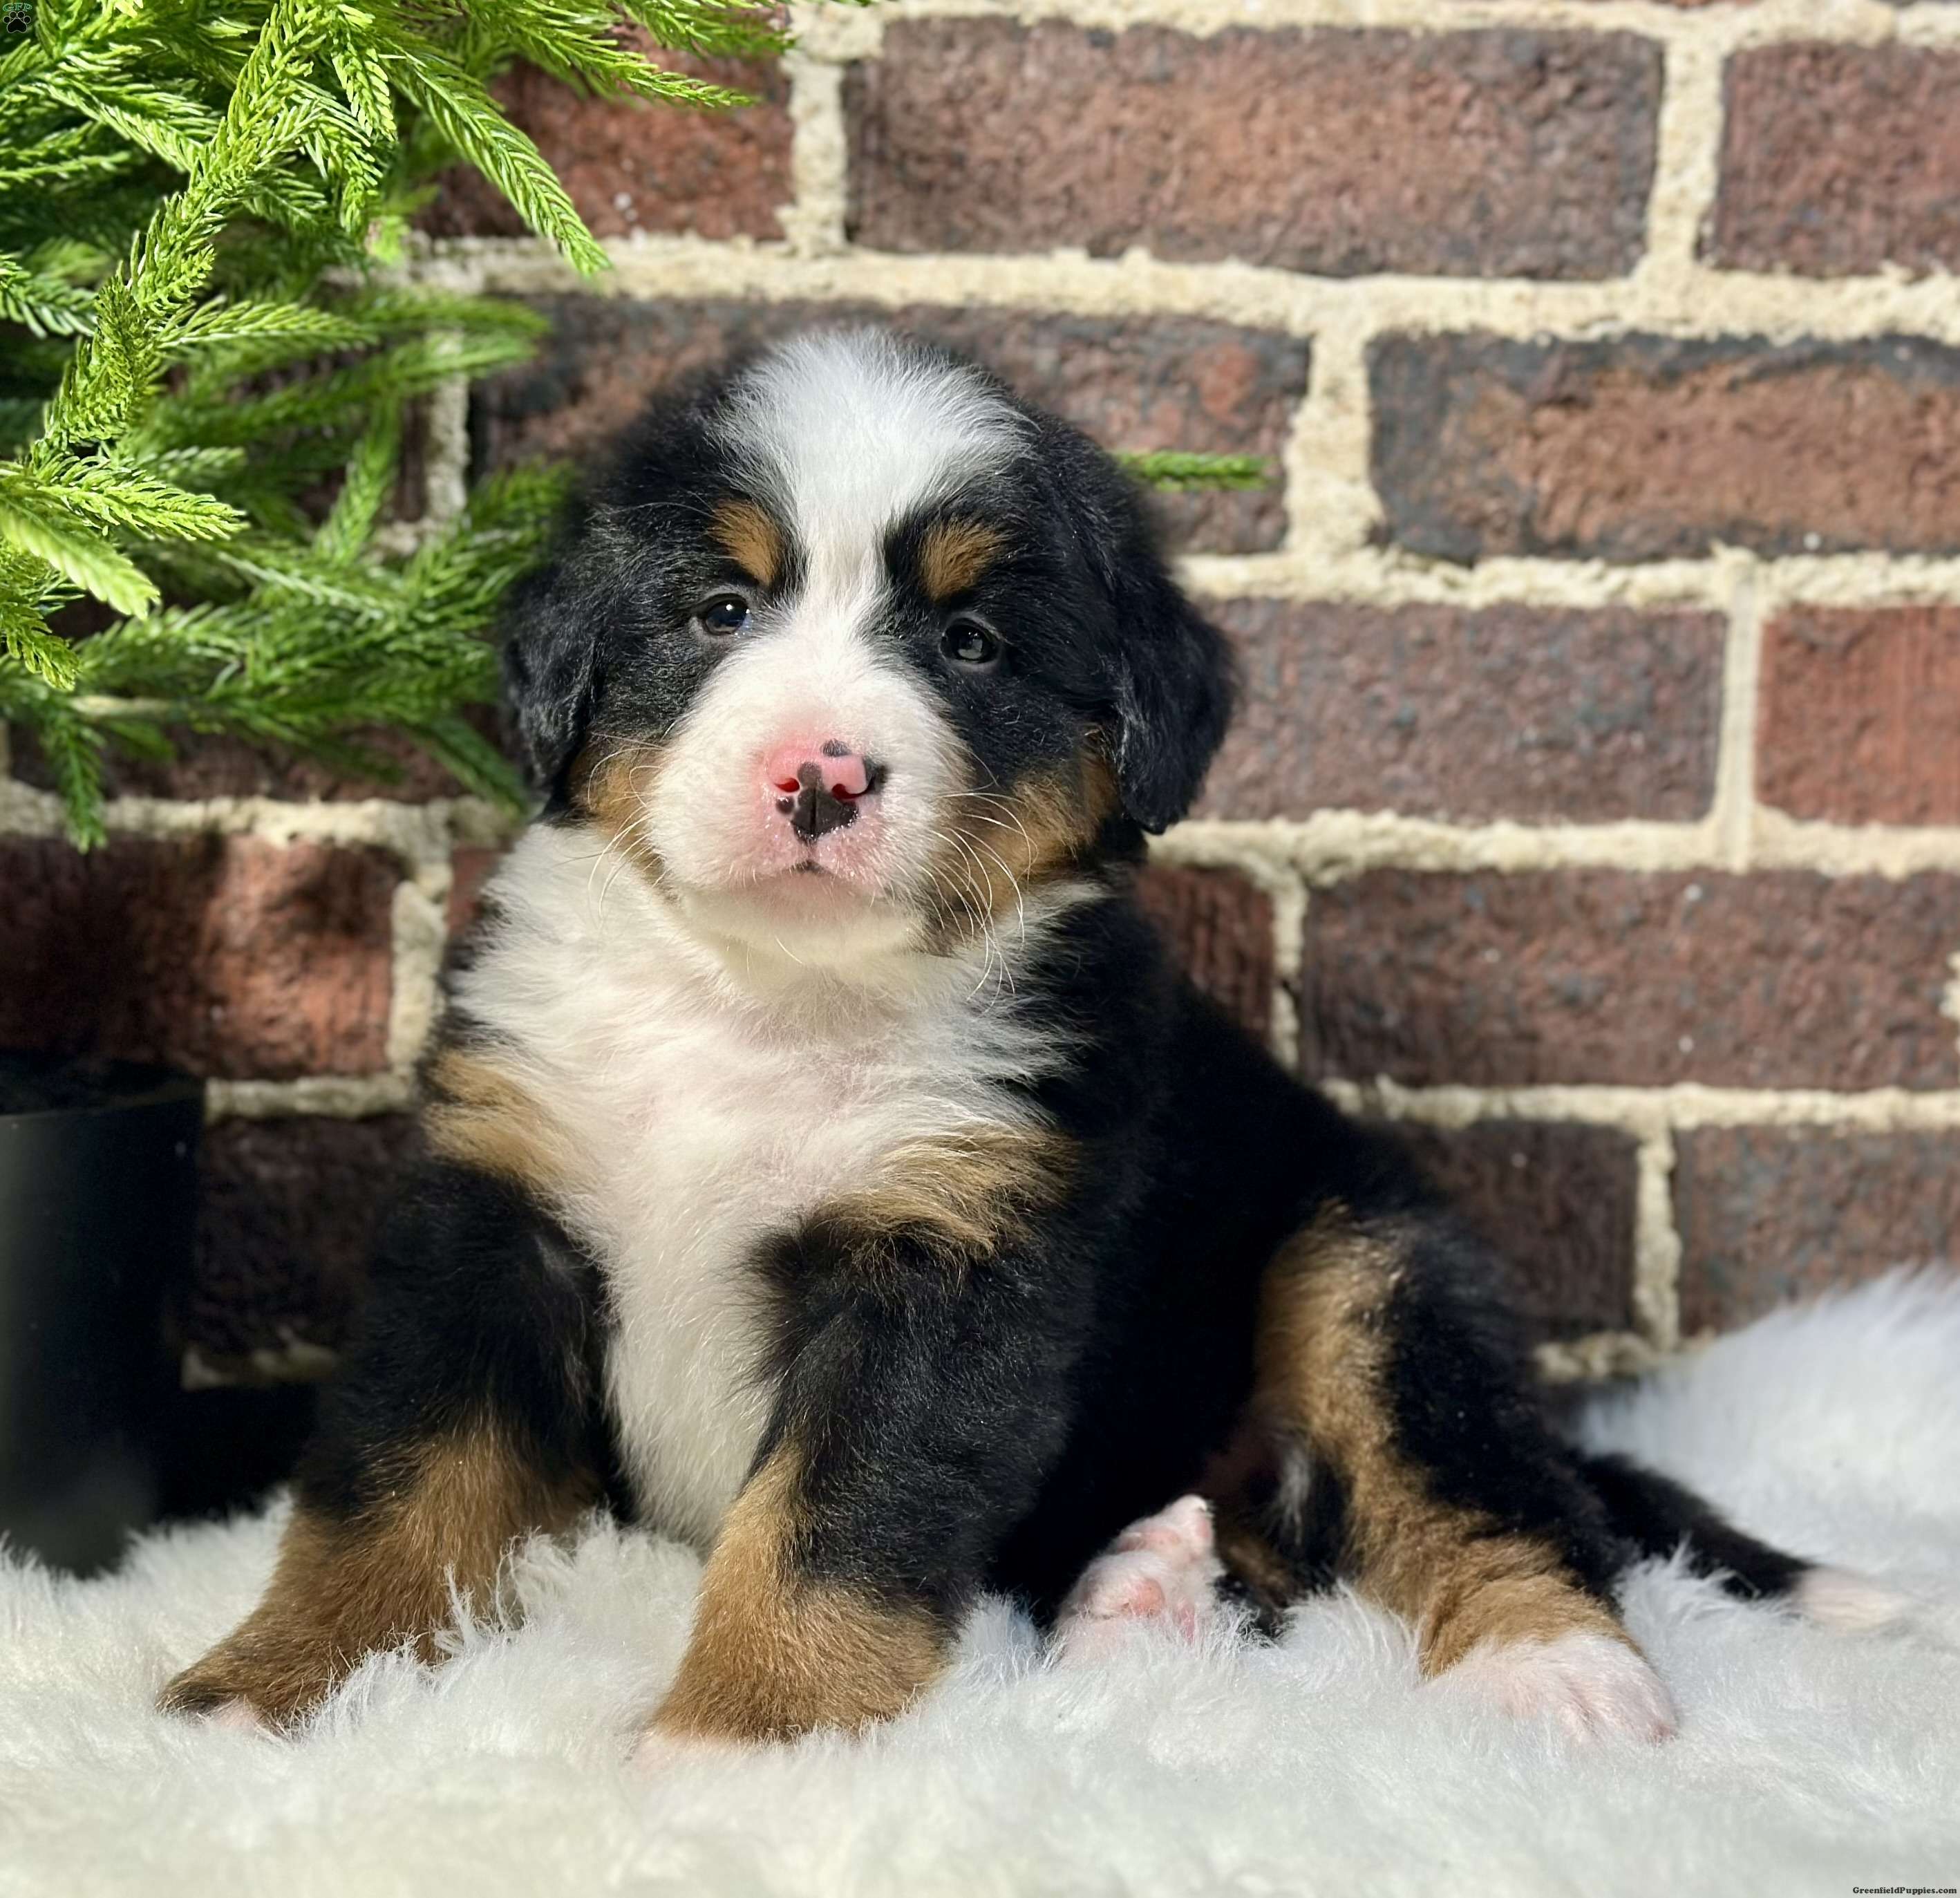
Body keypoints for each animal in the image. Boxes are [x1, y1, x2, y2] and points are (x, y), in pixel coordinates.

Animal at [161, 328, 1901, 1748]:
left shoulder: (953, 1258)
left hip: (1366, 1263)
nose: (819, 773)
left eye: (970, 644)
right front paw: (269, 1691)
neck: (763, 1003)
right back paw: (1145, 1599)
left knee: (1488, 1486)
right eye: (719, 609)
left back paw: (1555, 1671)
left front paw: (740, 1742)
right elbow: (395, 1490)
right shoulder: (491, 1213)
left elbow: (829, 1524)